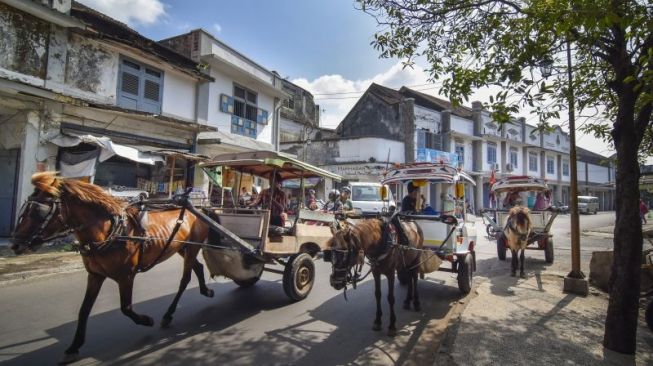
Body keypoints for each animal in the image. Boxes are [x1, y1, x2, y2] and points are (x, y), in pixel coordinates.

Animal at [10, 173, 214, 364]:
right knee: (198, 267)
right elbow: (84, 310)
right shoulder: (95, 275)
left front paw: (146, 320)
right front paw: (73, 347)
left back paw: (169, 314)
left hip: (192, 248)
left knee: (185, 279)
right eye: (25, 208)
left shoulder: (126, 277)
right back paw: (206, 291)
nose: (15, 245)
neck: (110, 231)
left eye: (38, 211)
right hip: (182, 248)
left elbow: (126, 307)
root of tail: (199, 209)